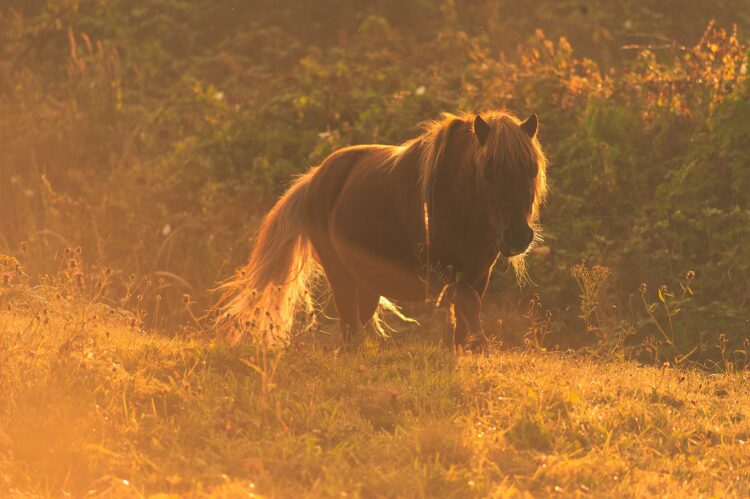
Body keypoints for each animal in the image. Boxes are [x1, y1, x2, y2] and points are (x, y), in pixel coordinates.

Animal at [217, 110, 548, 352]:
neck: (456, 201)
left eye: (531, 169)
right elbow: (468, 305)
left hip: (366, 283)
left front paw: (467, 350)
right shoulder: (446, 271)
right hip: (340, 274)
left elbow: (465, 315)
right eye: (489, 170)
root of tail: (314, 179)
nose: (518, 237)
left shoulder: (478, 273)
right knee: (349, 326)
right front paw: (480, 345)